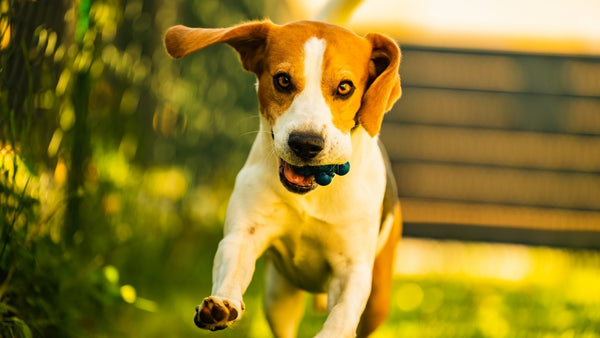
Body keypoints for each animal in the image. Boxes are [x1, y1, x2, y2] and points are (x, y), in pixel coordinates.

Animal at [164, 20, 404, 338]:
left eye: (344, 87)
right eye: (283, 80)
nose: (306, 143)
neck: (312, 194)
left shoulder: (352, 268)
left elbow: (343, 312)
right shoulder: (244, 234)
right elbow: (232, 264)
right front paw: (223, 304)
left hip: (377, 301)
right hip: (278, 297)